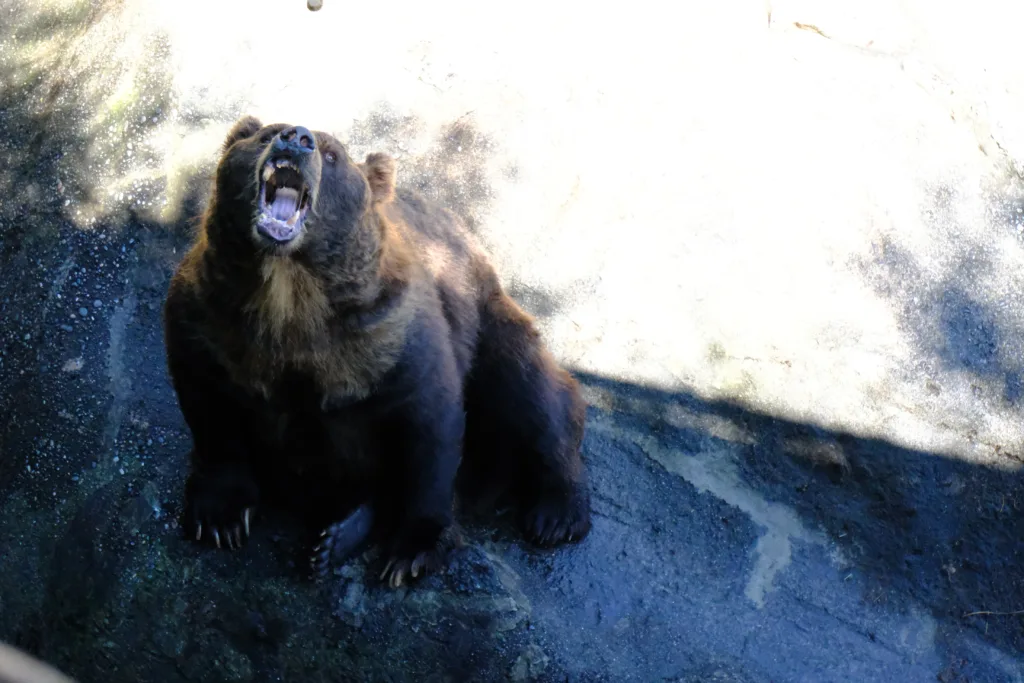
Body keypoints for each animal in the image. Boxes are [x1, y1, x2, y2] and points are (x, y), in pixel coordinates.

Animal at [161, 117, 593, 589]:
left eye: (332, 154)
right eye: (266, 133)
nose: (296, 138)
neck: (290, 293)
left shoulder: (391, 337)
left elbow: (430, 428)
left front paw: (411, 552)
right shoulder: (210, 319)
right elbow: (209, 407)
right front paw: (220, 518)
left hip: (487, 321)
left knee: (529, 391)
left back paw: (555, 515)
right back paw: (335, 538)